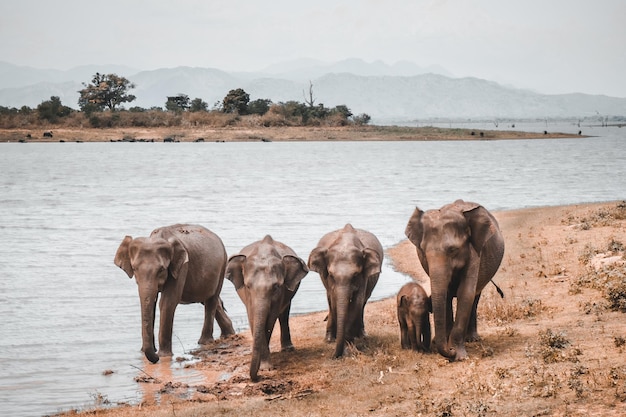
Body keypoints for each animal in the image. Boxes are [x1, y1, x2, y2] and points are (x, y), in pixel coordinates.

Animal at [114, 223, 234, 362]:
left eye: (161, 269)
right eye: (134, 269)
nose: (154, 356)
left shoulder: (181, 267)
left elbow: (167, 302)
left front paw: (163, 355)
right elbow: (152, 302)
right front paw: (144, 352)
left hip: (223, 265)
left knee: (211, 300)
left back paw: (205, 342)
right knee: (209, 300)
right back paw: (228, 334)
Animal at [227, 234, 310, 380]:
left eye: (276, 287)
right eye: (248, 286)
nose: (256, 377)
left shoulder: (280, 294)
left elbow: (270, 320)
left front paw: (265, 367)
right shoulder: (249, 298)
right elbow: (253, 318)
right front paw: (264, 366)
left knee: (284, 314)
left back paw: (288, 349)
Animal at [306, 224, 380, 358]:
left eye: (355, 275)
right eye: (331, 274)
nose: (333, 356)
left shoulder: (363, 278)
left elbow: (357, 302)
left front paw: (348, 344)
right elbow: (334, 300)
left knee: (363, 303)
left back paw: (361, 335)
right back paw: (330, 339)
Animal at [404, 199, 502, 360]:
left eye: (453, 250)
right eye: (423, 251)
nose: (450, 351)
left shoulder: (474, 253)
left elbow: (465, 293)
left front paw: (459, 356)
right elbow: (447, 295)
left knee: (475, 297)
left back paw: (472, 339)